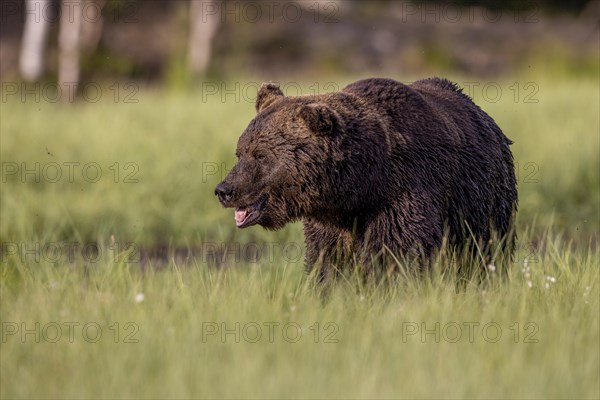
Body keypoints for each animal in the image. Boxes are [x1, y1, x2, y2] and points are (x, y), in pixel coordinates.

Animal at [214, 79, 516, 276]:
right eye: (240, 152)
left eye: (261, 155)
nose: (224, 190)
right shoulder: (330, 221)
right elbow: (328, 261)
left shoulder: (404, 194)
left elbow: (396, 253)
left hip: (482, 203)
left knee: (484, 252)